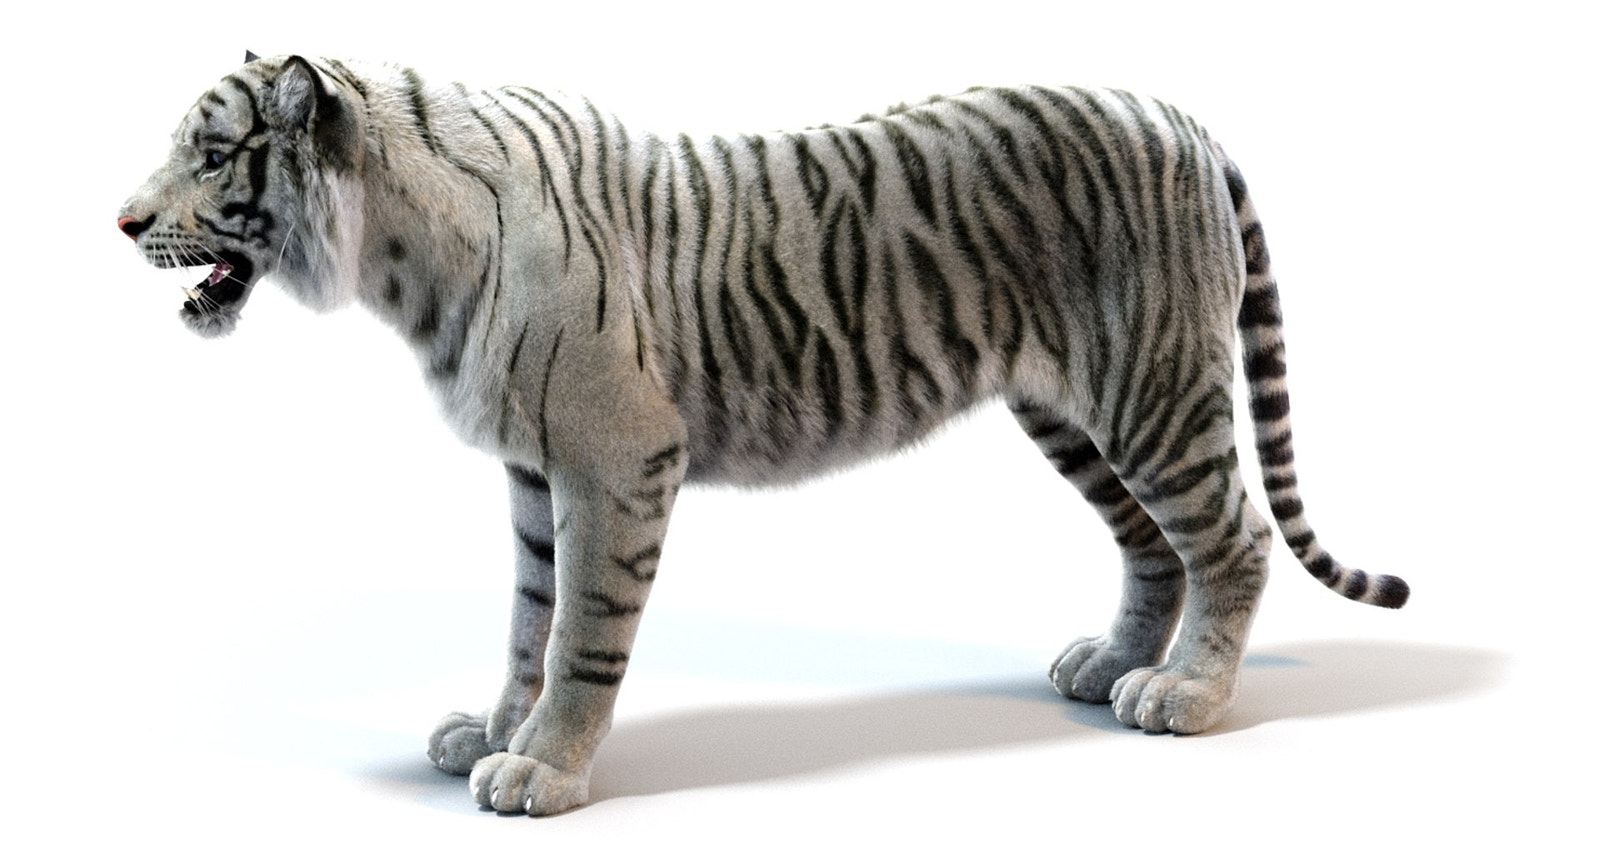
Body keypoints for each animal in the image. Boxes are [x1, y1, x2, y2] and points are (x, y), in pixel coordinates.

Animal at [118, 53, 1409, 816]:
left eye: (213, 155)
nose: (122, 220)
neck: (400, 263)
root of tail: (1178, 112)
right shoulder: (534, 472)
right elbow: (527, 619)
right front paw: (490, 725)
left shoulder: (617, 460)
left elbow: (580, 632)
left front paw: (541, 764)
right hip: (1068, 408)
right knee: (1151, 543)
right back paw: (1108, 666)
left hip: (1152, 386)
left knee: (1231, 536)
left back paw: (1183, 693)